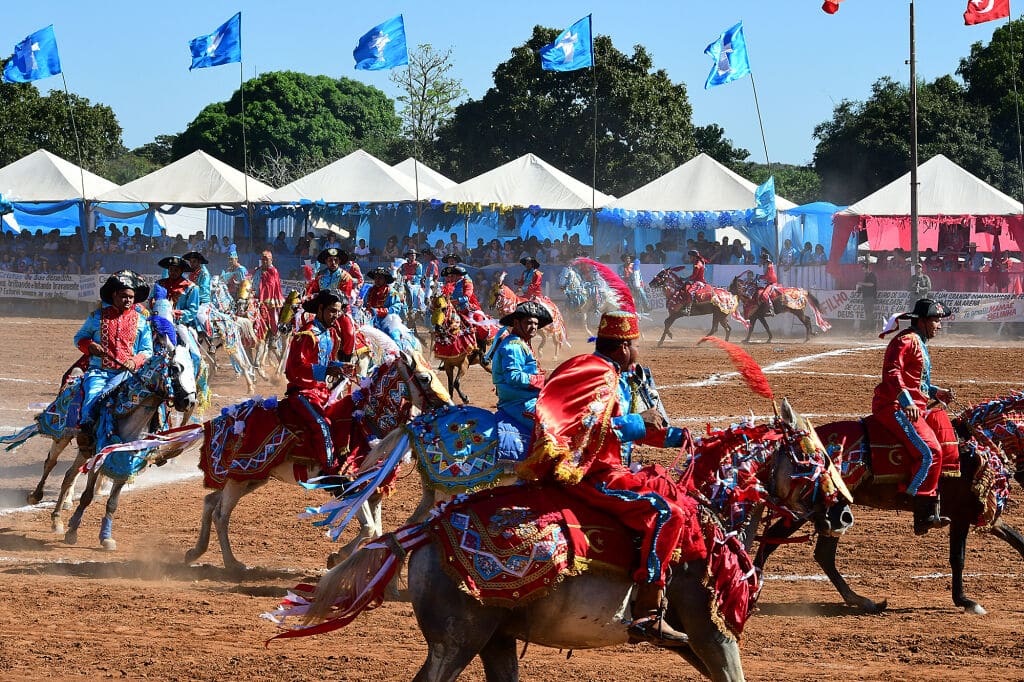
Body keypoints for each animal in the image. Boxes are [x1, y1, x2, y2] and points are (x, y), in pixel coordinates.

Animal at [262, 395, 847, 675]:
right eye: (815, 456)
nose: (844, 512)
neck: (709, 513)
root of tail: (425, 534)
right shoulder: (711, 632)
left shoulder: (692, 641)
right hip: (457, 642)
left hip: (494, 642)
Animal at [753, 391, 1024, 614]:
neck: (978, 443)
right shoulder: (961, 514)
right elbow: (958, 558)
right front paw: (966, 601)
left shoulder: (985, 515)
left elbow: (1018, 541)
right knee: (775, 542)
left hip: (832, 515)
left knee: (821, 555)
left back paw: (862, 601)